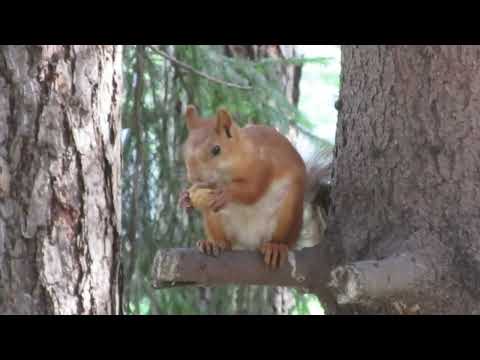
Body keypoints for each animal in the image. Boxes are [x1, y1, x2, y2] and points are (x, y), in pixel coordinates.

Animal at [178, 104, 332, 268]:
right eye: (184, 149)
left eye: (216, 149)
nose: (194, 177)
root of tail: (250, 243)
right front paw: (185, 197)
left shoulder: (264, 167)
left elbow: (253, 190)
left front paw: (226, 194)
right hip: (215, 220)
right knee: (226, 242)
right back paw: (214, 243)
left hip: (289, 211)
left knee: (285, 240)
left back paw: (276, 246)